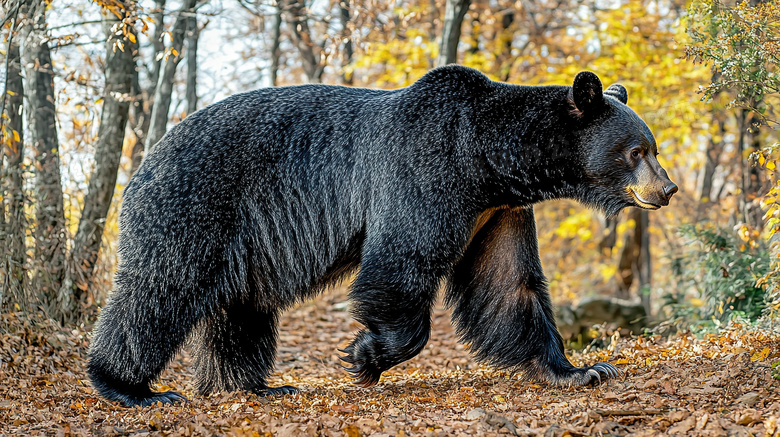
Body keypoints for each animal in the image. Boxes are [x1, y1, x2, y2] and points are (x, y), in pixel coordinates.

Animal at [87, 64, 676, 406]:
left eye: (653, 147)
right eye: (636, 151)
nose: (666, 189)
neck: (490, 159)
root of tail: (145, 158)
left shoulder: (497, 211)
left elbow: (509, 284)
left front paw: (580, 370)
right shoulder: (429, 170)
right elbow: (401, 261)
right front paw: (365, 356)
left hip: (246, 242)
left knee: (243, 309)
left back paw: (254, 384)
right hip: (197, 204)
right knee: (163, 288)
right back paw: (128, 387)